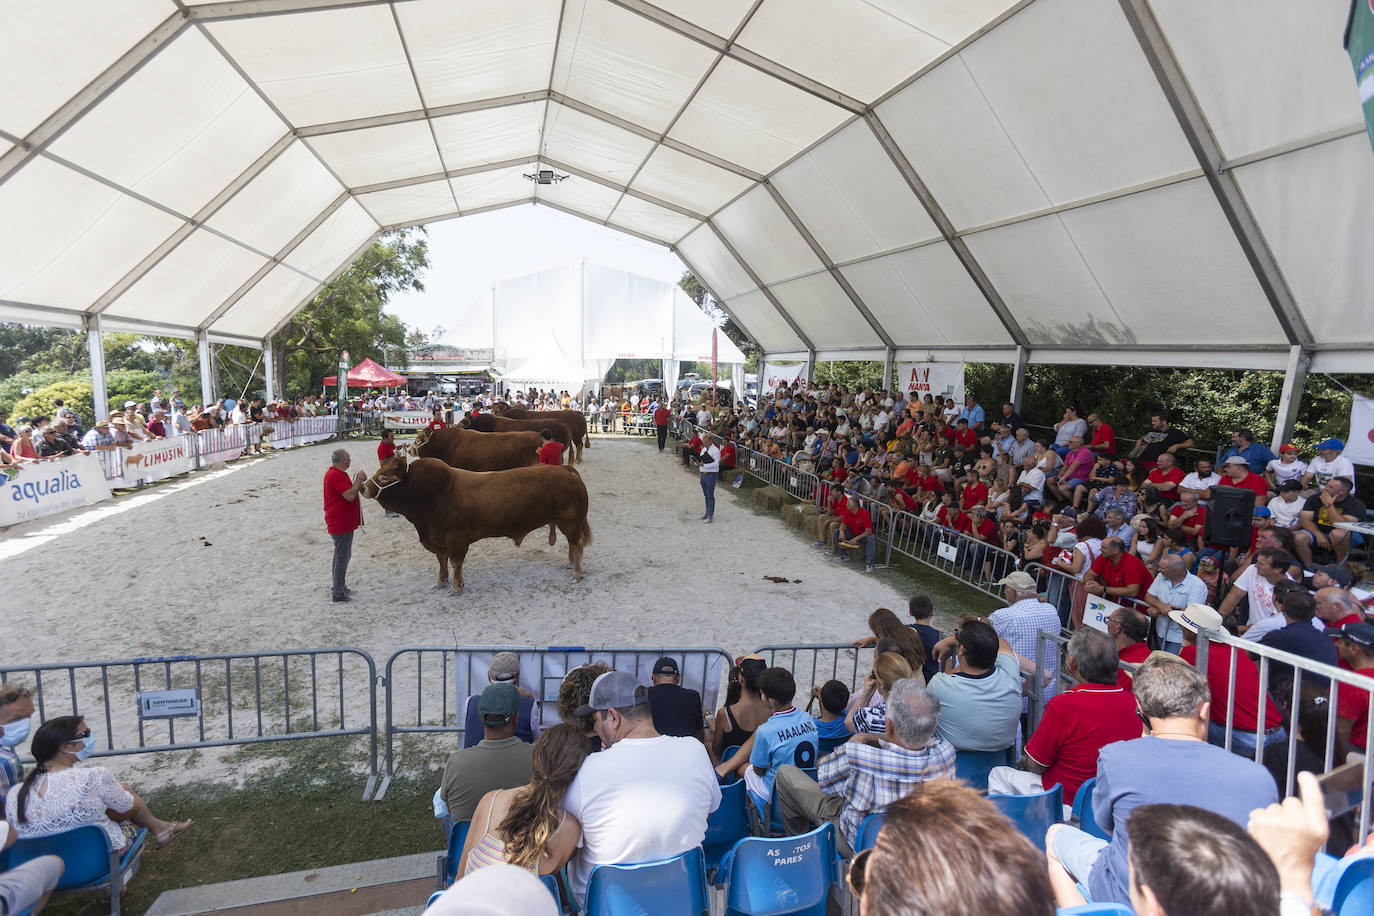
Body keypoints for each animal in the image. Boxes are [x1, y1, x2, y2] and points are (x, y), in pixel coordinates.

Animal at [359, 453, 590, 596]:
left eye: (385, 476)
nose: (363, 487)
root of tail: (565, 470)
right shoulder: (437, 540)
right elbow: (442, 561)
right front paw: (441, 581)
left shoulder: (455, 538)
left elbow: (455, 562)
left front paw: (456, 587)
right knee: (572, 544)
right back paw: (570, 564)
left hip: (570, 521)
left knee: (577, 544)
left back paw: (577, 574)